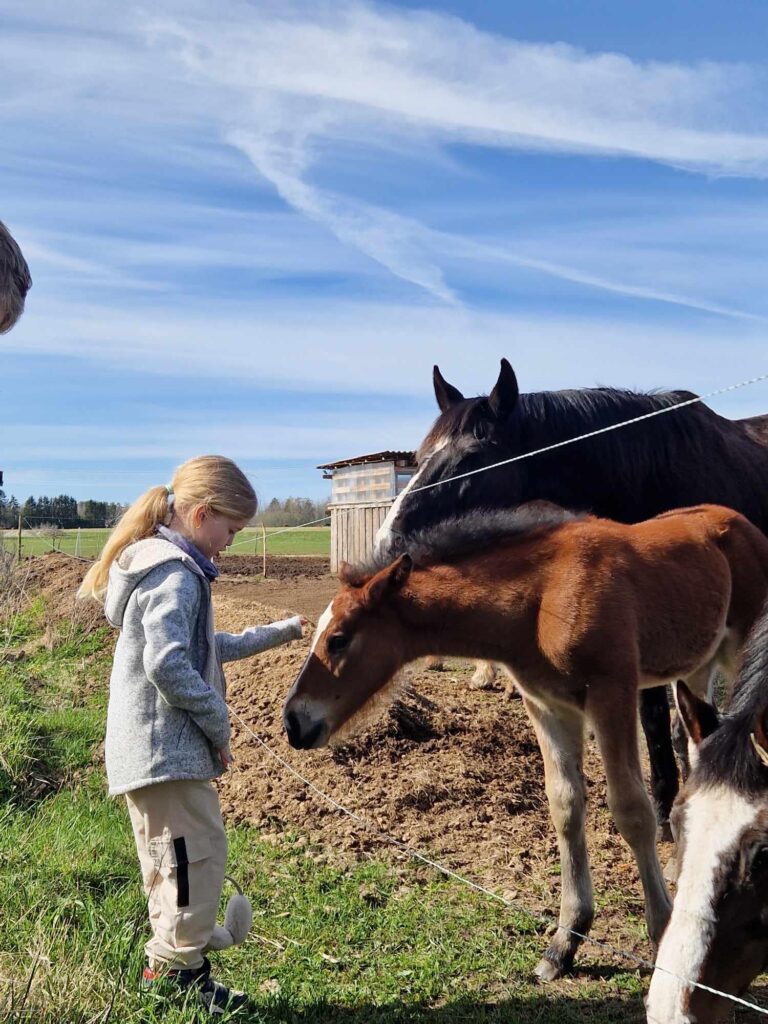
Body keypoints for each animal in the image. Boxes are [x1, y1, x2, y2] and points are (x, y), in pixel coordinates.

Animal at [376, 358, 768, 831]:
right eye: (418, 458)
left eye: (472, 459)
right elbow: (656, 720)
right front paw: (663, 807)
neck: (650, 474)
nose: (387, 542)